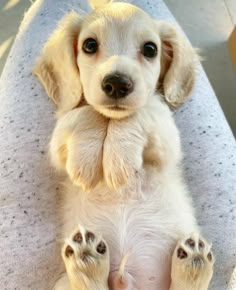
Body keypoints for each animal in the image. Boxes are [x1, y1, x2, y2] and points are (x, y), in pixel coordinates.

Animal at [34, 0, 214, 290]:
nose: (117, 83)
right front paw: (88, 162)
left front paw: (118, 161)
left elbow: (142, 110)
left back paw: (193, 265)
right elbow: (85, 111)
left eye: (150, 49)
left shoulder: (168, 140)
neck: (111, 121)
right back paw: (87, 261)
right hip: (62, 283)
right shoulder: (59, 142)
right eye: (89, 45)